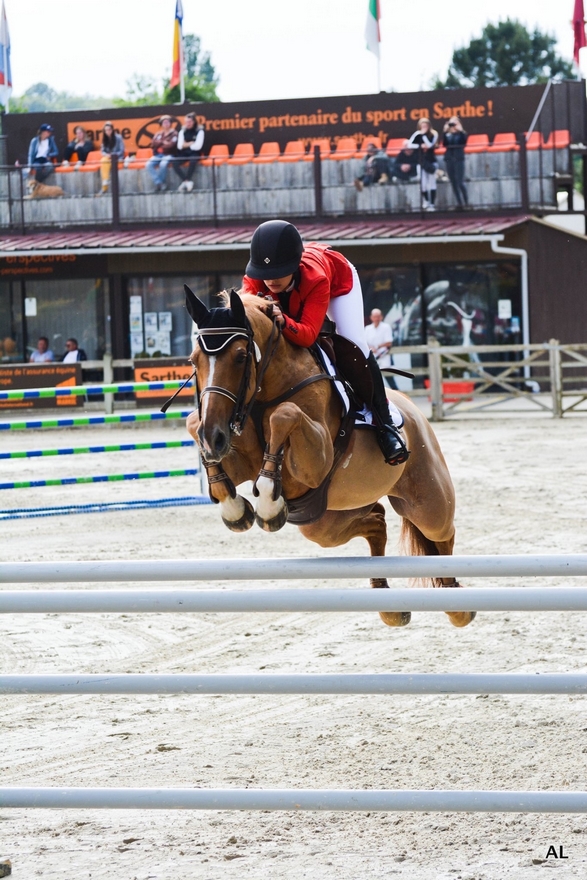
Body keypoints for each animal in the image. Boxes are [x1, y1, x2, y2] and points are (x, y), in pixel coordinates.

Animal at [186, 286, 476, 628]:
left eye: (241, 356)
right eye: (194, 360)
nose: (214, 437)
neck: (262, 394)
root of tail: (413, 409)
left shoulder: (315, 461)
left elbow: (284, 415)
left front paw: (269, 502)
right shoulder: (239, 460)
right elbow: (193, 423)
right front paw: (235, 509)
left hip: (427, 503)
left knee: (442, 534)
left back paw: (458, 605)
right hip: (325, 519)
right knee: (376, 521)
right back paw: (390, 605)